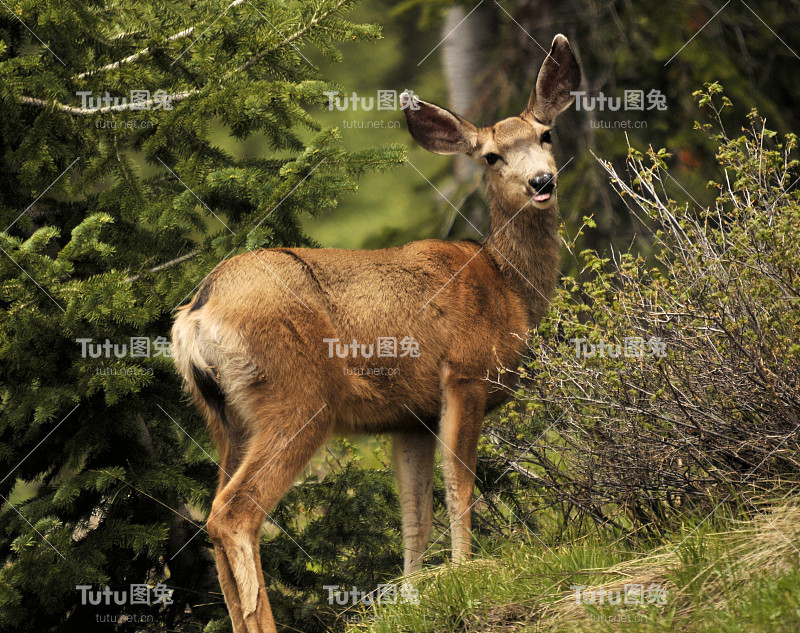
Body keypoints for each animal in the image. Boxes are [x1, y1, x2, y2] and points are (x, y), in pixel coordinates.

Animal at [170, 33, 580, 632]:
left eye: (546, 135)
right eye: (491, 155)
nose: (541, 182)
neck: (508, 287)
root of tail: (196, 314)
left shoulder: (409, 417)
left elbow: (415, 517)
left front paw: (412, 595)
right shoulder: (464, 375)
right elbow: (459, 486)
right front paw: (467, 571)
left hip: (225, 418)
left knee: (211, 518)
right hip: (298, 397)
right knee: (233, 514)